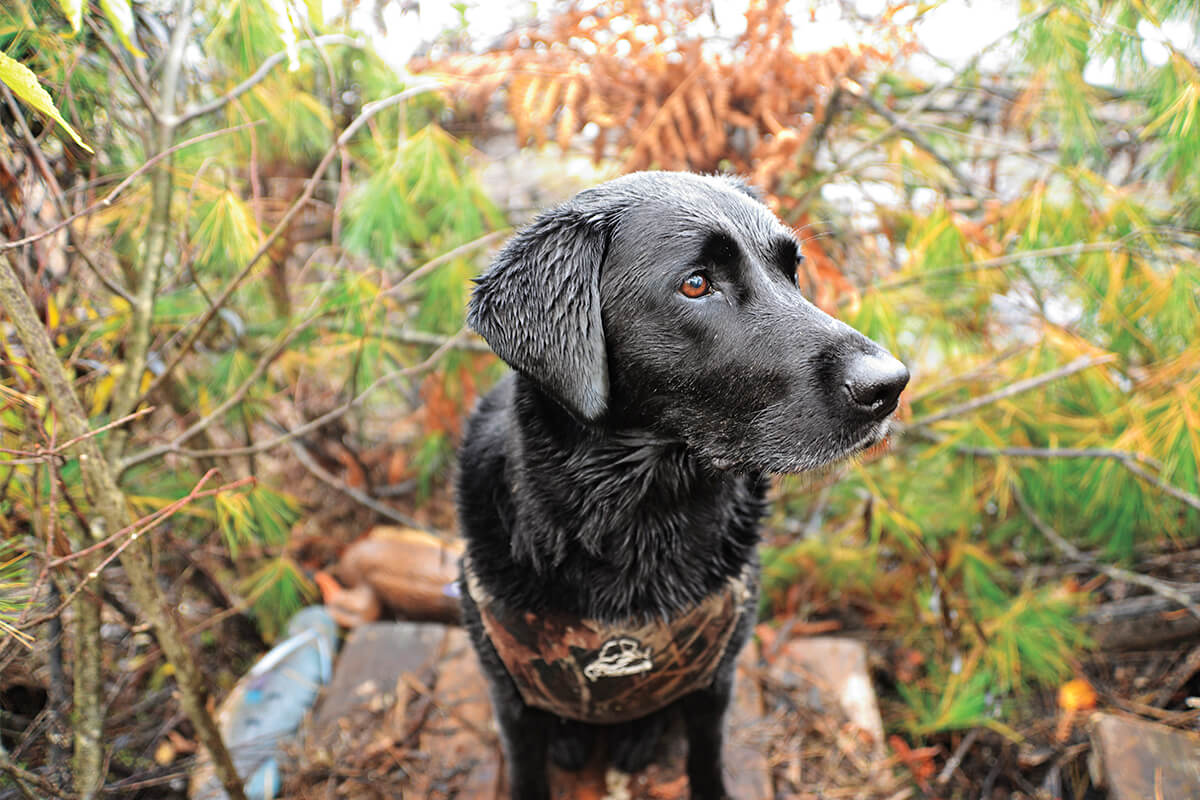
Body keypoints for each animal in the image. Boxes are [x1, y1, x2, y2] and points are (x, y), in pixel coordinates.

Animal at [453, 172, 902, 796]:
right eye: (696, 284)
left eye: (792, 270)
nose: (891, 385)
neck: (640, 518)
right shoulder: (509, 696)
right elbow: (527, 769)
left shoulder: (716, 679)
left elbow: (705, 759)